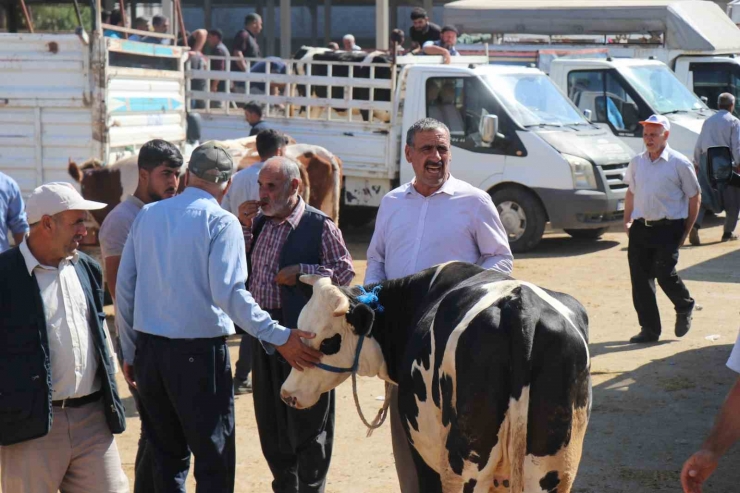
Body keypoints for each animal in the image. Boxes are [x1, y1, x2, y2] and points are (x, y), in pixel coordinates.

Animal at [280, 262, 592, 492]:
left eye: (327, 342)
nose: (287, 393)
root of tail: (520, 308)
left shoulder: (422, 454)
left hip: (464, 468)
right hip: (551, 468)